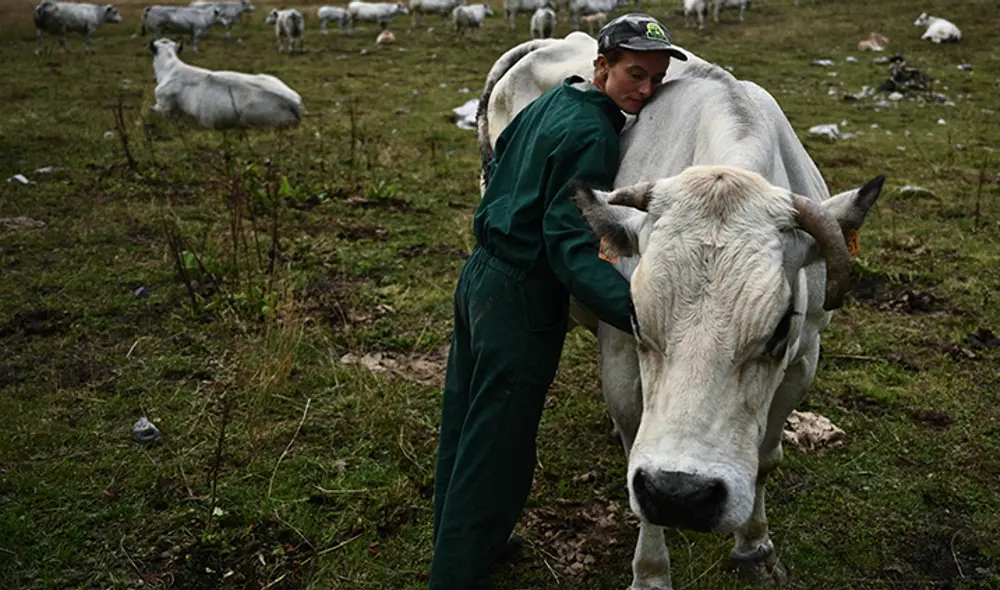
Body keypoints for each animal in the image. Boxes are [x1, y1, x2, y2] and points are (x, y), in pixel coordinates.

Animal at [476, 32, 885, 589]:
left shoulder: (804, 358)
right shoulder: (621, 354)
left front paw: (755, 546)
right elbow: (636, 451)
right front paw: (650, 571)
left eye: (779, 329)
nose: (681, 494)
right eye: (636, 316)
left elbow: (764, 458)